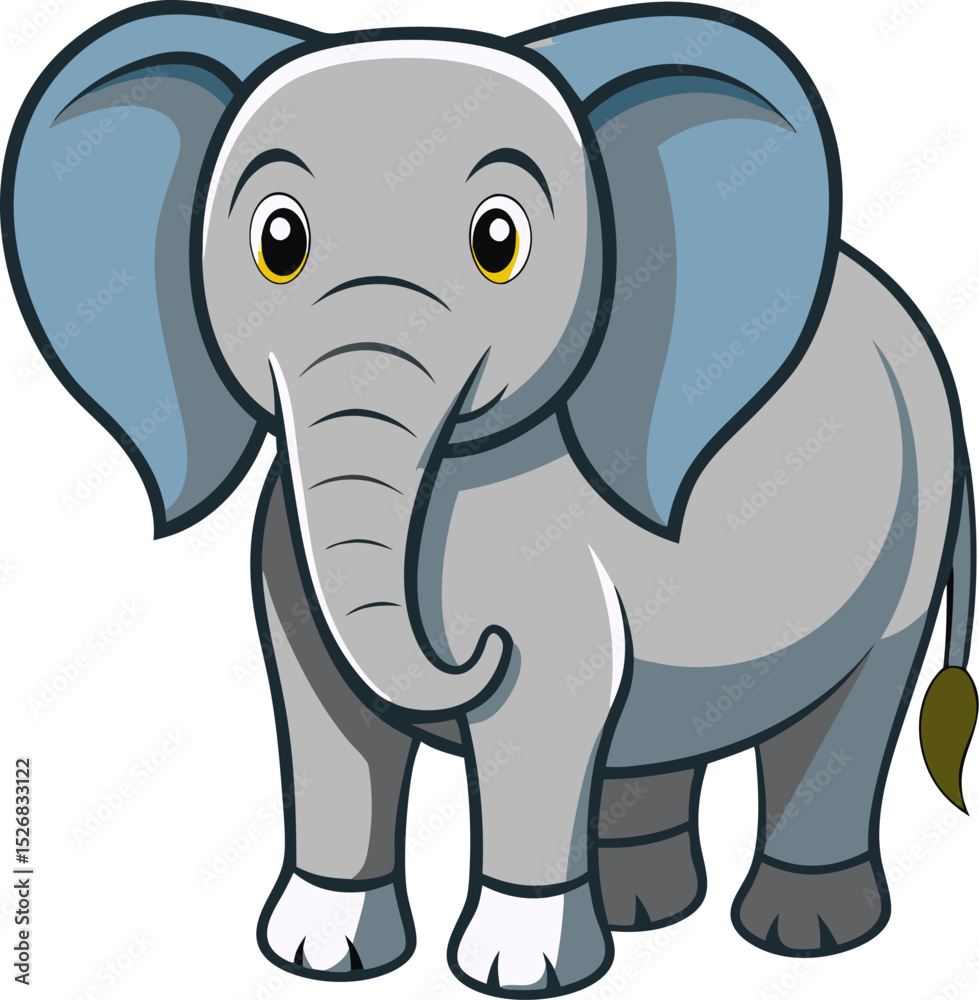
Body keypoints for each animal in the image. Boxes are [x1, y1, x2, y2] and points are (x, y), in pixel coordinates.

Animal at [4, 1, 977, 995]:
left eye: (498, 243)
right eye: (279, 243)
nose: (476, 649)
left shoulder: (557, 567)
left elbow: (546, 707)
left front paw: (516, 972)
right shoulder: (285, 551)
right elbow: (323, 703)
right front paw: (322, 955)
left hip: (916, 519)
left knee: (847, 708)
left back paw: (801, 935)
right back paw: (645, 908)